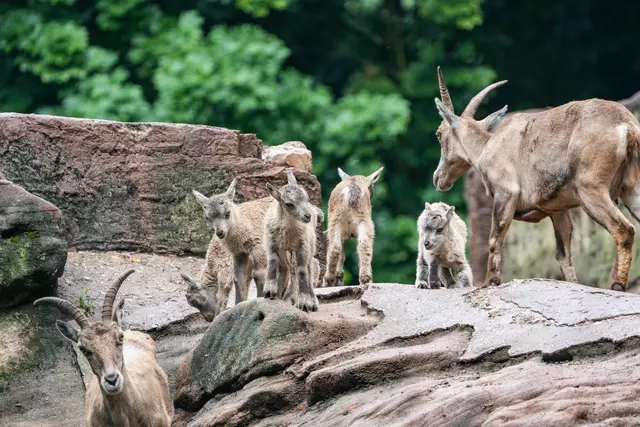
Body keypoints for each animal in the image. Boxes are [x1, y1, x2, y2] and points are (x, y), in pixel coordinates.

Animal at [264, 169, 320, 311]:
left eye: (306, 198)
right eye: (289, 204)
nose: (307, 216)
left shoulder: (302, 246)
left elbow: (301, 270)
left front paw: (304, 302)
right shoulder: (272, 243)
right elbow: (273, 261)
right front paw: (269, 290)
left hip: (309, 247)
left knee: (307, 269)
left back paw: (312, 301)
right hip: (285, 250)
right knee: (285, 267)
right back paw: (279, 295)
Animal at [433, 66, 640, 291]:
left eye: (439, 133)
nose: (438, 178)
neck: (488, 146)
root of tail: (628, 127)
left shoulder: (505, 193)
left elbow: (494, 238)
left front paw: (489, 282)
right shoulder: (558, 210)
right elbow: (563, 255)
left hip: (591, 189)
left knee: (624, 229)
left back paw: (616, 284)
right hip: (631, 189)